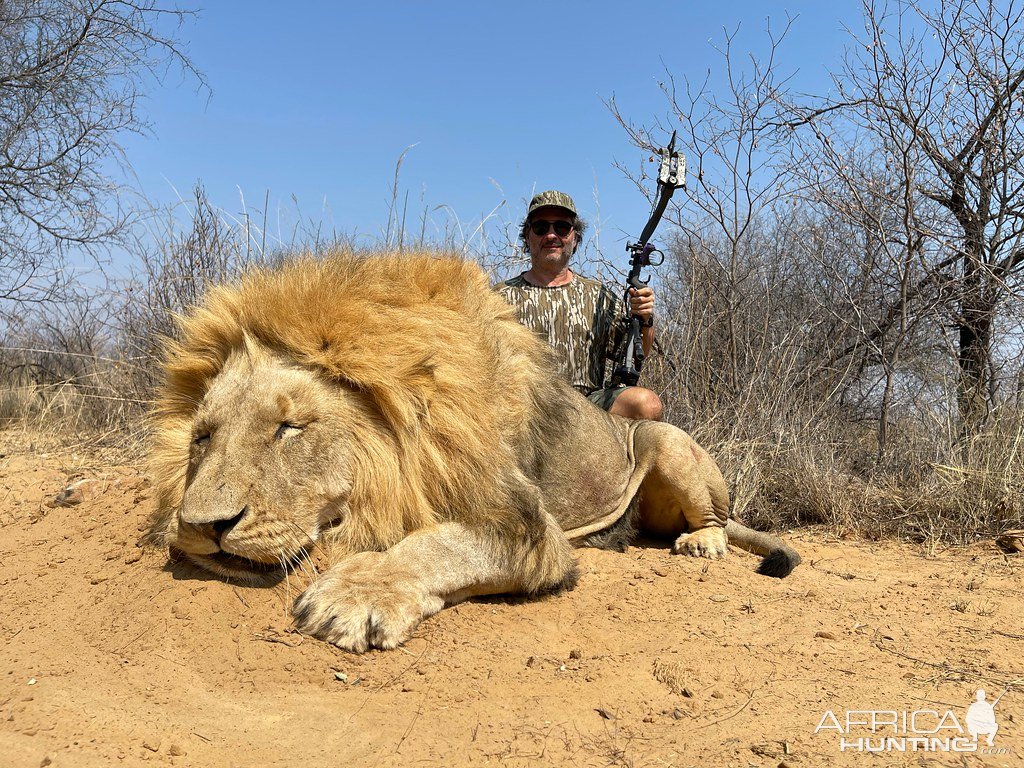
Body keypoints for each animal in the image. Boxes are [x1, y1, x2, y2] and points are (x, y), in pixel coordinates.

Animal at [146, 252, 798, 655]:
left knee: (712, 515)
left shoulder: (529, 526)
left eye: (288, 428)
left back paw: (702, 542)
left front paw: (355, 594)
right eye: (203, 436)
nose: (203, 527)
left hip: (662, 439)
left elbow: (439, 544)